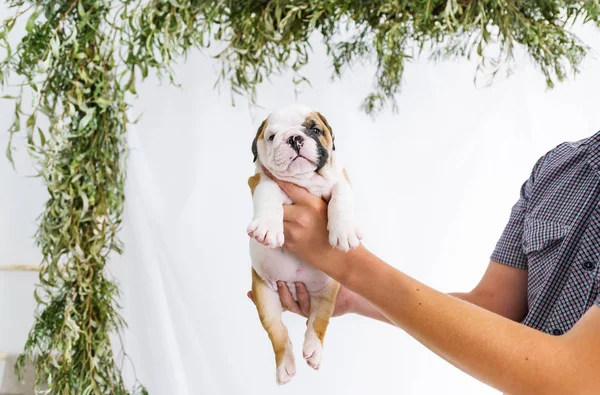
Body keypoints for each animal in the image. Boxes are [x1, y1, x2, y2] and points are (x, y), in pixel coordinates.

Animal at [247, 103, 360, 386]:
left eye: (315, 130)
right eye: (272, 137)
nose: (295, 138)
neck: (305, 181)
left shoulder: (341, 178)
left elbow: (341, 196)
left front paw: (344, 231)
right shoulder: (261, 182)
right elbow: (269, 193)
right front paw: (268, 228)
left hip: (327, 293)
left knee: (318, 323)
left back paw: (313, 350)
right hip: (265, 297)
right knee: (278, 332)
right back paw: (285, 366)